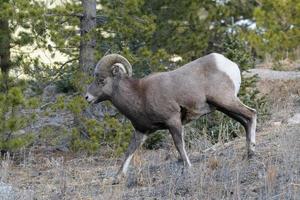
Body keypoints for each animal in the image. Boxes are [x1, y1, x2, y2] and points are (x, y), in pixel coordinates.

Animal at [85, 52, 256, 183]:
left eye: (101, 80)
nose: (87, 97)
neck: (140, 95)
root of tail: (229, 64)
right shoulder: (142, 131)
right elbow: (130, 151)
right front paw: (117, 177)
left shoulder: (173, 121)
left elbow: (179, 145)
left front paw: (188, 168)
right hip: (224, 107)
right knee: (245, 121)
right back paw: (249, 154)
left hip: (226, 101)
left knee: (251, 113)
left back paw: (252, 152)